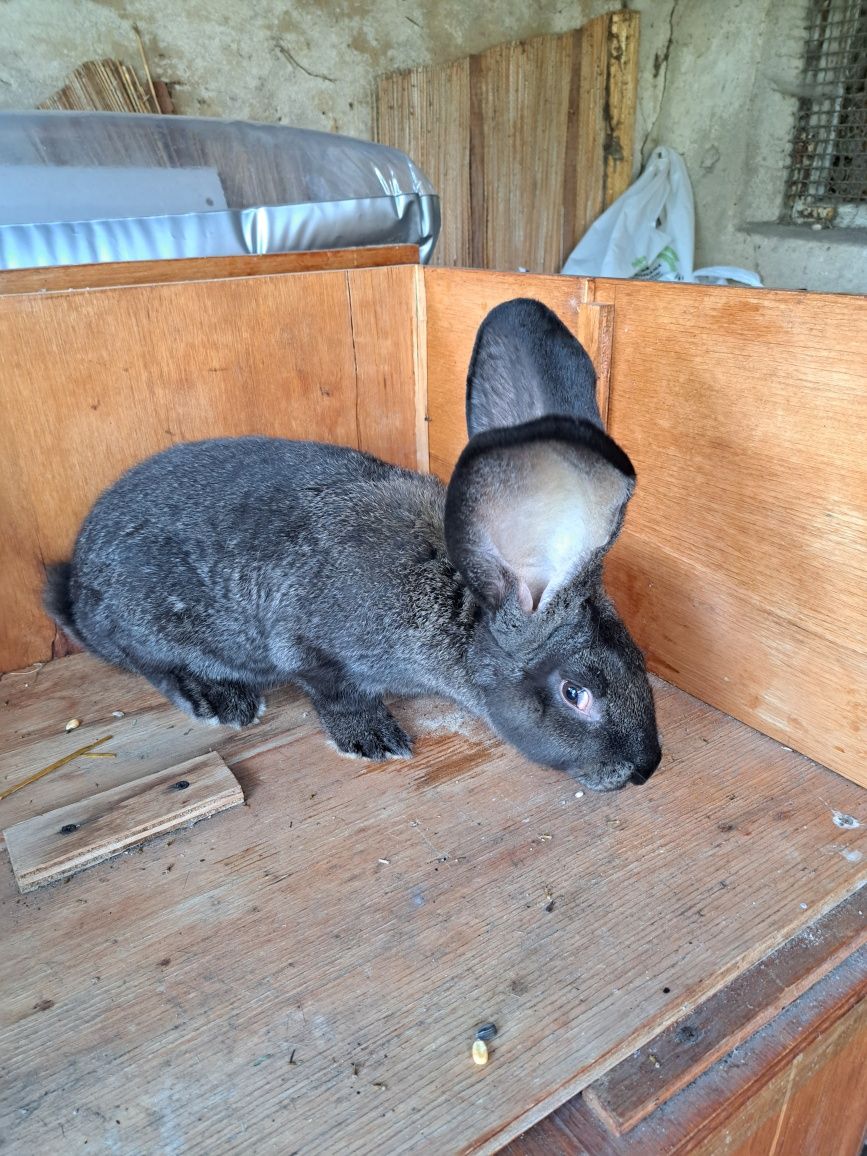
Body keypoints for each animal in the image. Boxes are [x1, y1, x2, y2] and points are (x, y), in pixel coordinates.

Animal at [45, 295, 656, 795]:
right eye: (576, 693)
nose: (646, 768)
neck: (459, 605)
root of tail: (74, 587)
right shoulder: (312, 649)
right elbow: (334, 693)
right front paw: (373, 739)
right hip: (150, 624)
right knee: (148, 663)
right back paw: (220, 700)